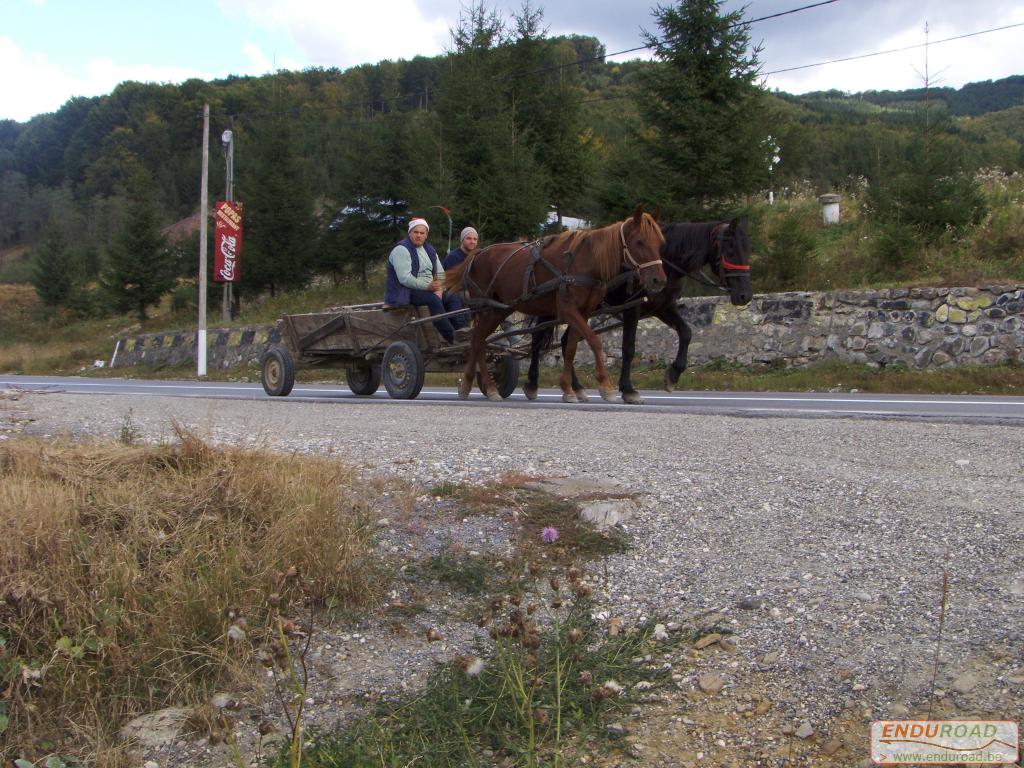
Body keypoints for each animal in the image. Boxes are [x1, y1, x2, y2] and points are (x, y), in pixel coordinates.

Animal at [444, 207, 667, 405]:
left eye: (659, 242)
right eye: (639, 241)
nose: (659, 280)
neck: (587, 261)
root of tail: (477, 254)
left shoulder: (584, 312)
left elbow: (571, 348)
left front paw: (568, 389)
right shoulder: (568, 310)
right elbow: (594, 341)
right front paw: (605, 386)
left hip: (500, 309)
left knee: (477, 341)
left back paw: (472, 385)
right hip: (485, 309)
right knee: (479, 342)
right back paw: (488, 388)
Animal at [524, 217, 757, 405]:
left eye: (747, 249)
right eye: (730, 250)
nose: (745, 295)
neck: (662, 260)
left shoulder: (663, 307)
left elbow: (686, 333)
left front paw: (673, 374)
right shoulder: (633, 309)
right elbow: (628, 348)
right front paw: (628, 389)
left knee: (565, 342)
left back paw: (577, 388)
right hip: (551, 307)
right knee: (537, 338)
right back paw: (532, 383)